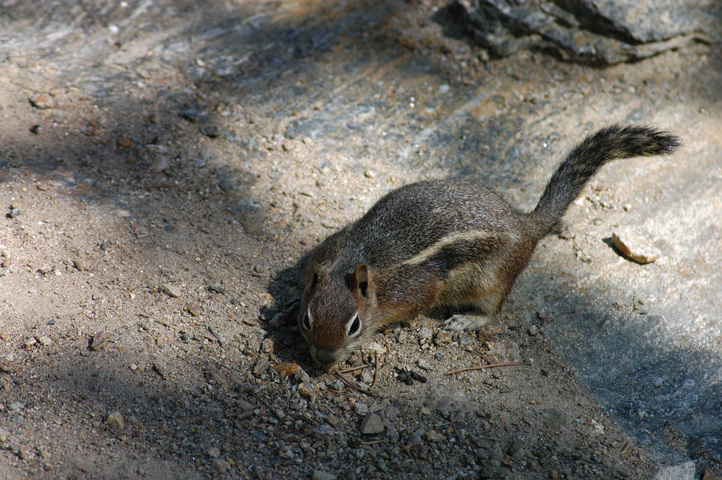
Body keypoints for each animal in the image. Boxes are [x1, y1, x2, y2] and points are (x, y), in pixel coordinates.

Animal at [296, 124, 676, 368]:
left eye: (354, 326)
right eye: (307, 319)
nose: (323, 360)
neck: (356, 258)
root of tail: (526, 225)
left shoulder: (414, 291)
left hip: (491, 279)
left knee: (494, 311)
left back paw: (466, 320)